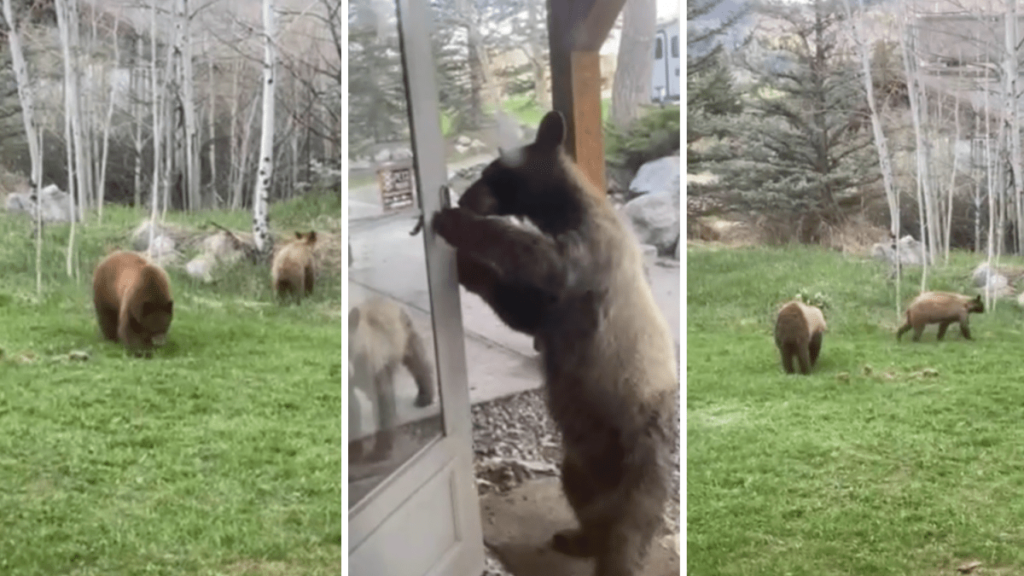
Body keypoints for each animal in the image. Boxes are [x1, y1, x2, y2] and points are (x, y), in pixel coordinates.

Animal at [348, 297, 436, 462]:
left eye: (349, 348)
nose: (348, 372)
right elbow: (352, 407)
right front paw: (354, 451)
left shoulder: (372, 364)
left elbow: (382, 399)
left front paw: (380, 450)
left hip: (406, 334)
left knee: (418, 363)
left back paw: (424, 396)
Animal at [431, 110, 678, 576]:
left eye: (491, 172)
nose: (466, 196)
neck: (568, 210)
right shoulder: (555, 311)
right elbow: (526, 309)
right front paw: (468, 267)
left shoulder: (593, 256)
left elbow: (545, 262)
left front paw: (456, 230)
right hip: (580, 457)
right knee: (583, 495)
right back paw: (578, 537)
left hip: (642, 454)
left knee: (628, 529)